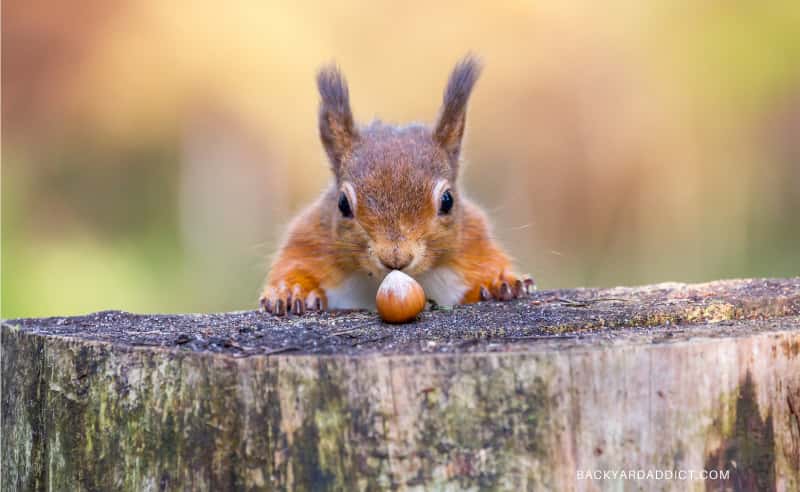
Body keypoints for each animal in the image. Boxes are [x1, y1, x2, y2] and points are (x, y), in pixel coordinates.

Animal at [260, 56, 534, 315]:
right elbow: (295, 265)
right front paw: (291, 291)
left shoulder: (473, 241)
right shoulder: (309, 240)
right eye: (342, 204)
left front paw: (500, 282)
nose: (396, 258)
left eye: (447, 201)